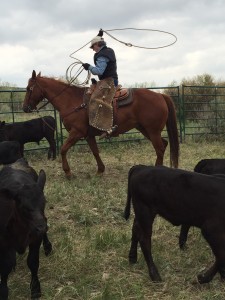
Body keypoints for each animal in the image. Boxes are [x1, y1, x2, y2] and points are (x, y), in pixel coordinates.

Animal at [0, 157, 51, 298]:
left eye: (44, 202)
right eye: (23, 206)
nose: (41, 228)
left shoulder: (35, 238)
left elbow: (33, 262)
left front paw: (35, 289)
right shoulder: (4, 243)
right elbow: (5, 266)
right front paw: (3, 291)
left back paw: (48, 246)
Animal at [22, 70, 179, 178]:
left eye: (29, 88)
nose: (24, 108)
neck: (71, 101)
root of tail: (160, 95)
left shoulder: (76, 132)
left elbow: (63, 149)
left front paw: (68, 173)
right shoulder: (88, 135)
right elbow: (95, 151)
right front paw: (100, 170)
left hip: (152, 130)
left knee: (159, 148)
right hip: (145, 129)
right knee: (164, 144)